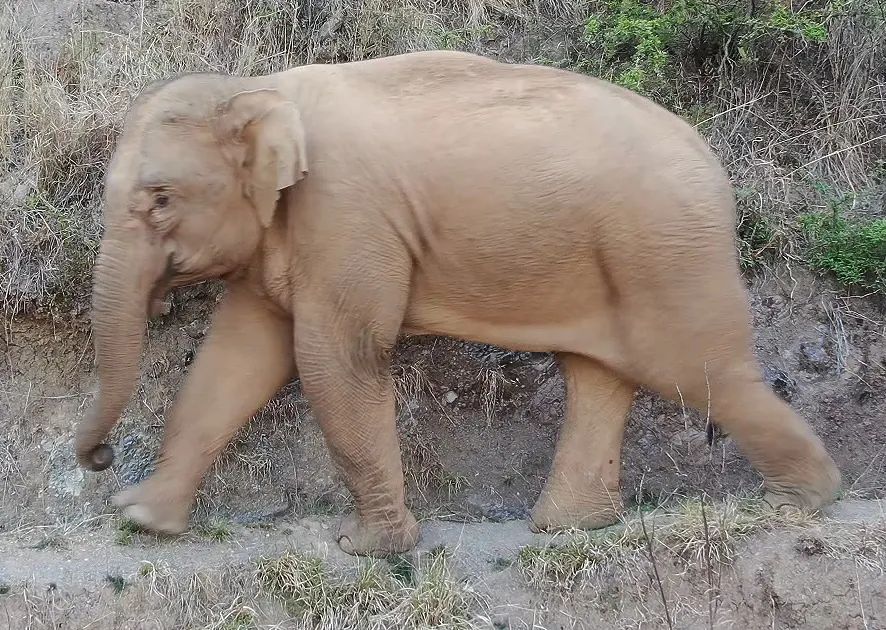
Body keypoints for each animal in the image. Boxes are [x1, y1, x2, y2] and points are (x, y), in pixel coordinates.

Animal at [74, 51, 840, 560]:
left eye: (160, 199)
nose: (101, 459)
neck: (257, 89)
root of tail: (713, 159)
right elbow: (238, 356)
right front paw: (142, 520)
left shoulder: (346, 212)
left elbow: (336, 353)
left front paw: (365, 548)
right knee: (600, 374)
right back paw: (569, 528)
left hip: (663, 246)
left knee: (694, 369)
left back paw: (800, 503)